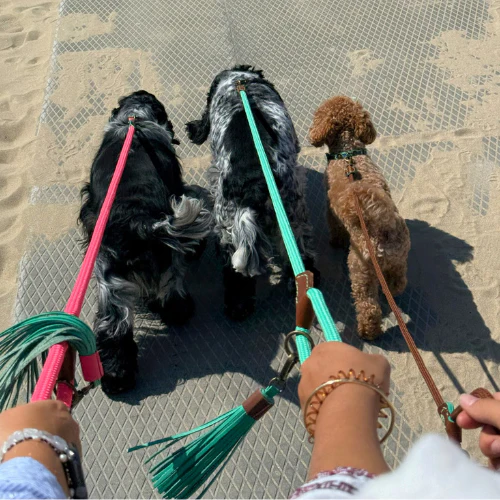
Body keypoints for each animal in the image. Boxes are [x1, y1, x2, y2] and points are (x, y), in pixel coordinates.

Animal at [309, 95, 410, 340]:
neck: (348, 154)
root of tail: (382, 227)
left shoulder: (330, 210)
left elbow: (335, 228)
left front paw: (335, 242)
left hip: (359, 268)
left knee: (368, 306)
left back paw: (367, 331)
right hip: (399, 258)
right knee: (399, 281)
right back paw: (391, 289)